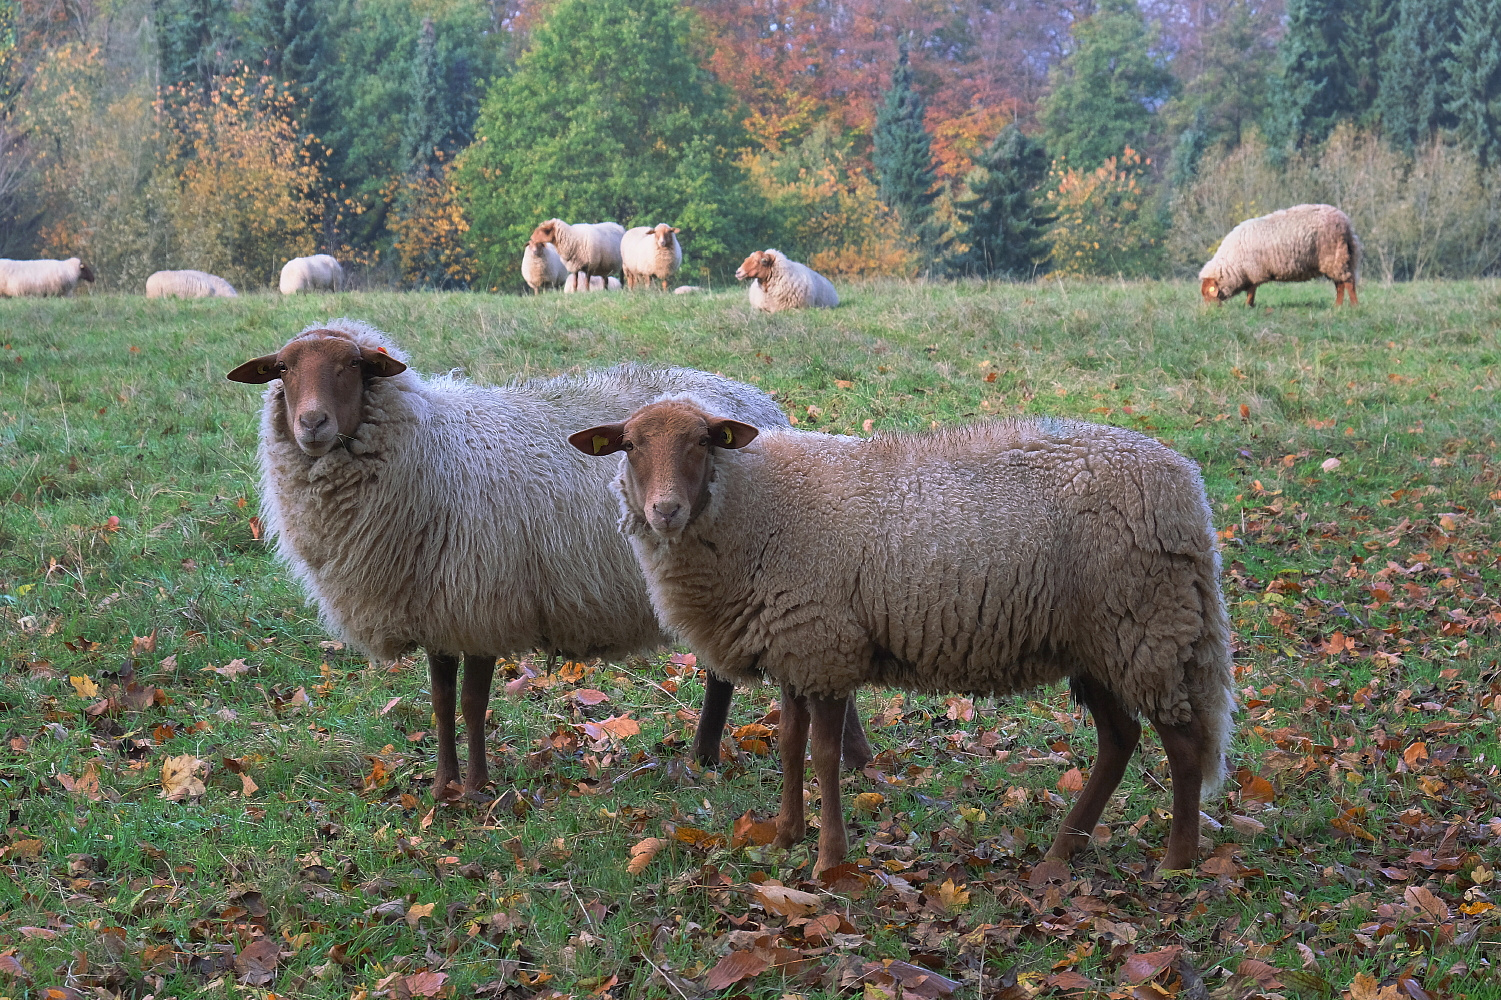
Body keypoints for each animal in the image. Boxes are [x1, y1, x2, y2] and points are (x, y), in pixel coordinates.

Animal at [222, 322, 870, 798]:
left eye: (353, 366)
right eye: (284, 369)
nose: (311, 423)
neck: (429, 445)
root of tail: (764, 407)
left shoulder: (480, 603)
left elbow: (472, 702)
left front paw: (478, 790)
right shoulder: (440, 610)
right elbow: (440, 702)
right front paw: (442, 787)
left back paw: (851, 762)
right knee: (724, 672)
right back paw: (706, 758)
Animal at [567, 396, 1236, 870]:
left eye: (704, 441)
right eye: (629, 446)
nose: (665, 511)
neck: (755, 506)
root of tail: (1186, 483)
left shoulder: (824, 647)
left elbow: (824, 754)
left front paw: (829, 861)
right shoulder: (794, 644)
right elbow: (787, 744)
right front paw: (786, 837)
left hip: (1147, 627)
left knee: (1182, 745)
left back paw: (1176, 861)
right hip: (1097, 643)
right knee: (1120, 739)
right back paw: (1062, 851)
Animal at [1194, 204, 1362, 306]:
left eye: (1208, 293)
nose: (1209, 312)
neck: (1233, 263)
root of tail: (1345, 222)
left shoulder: (1254, 271)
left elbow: (1251, 290)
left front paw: (1248, 305)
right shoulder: (1252, 272)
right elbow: (1251, 290)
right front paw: (1250, 305)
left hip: (1336, 258)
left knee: (1348, 283)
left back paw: (1354, 306)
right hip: (1339, 260)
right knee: (1340, 285)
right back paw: (1337, 306)